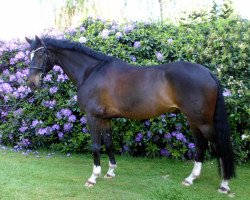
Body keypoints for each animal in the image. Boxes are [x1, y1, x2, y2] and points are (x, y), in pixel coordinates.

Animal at [24, 35, 234, 194]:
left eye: (41, 53)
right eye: (29, 54)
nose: (32, 83)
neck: (91, 71)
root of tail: (208, 73)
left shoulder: (93, 117)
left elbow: (96, 145)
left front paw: (93, 177)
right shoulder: (105, 118)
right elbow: (108, 143)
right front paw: (110, 172)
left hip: (203, 121)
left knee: (217, 146)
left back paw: (224, 185)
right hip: (193, 120)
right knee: (200, 145)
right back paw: (190, 179)